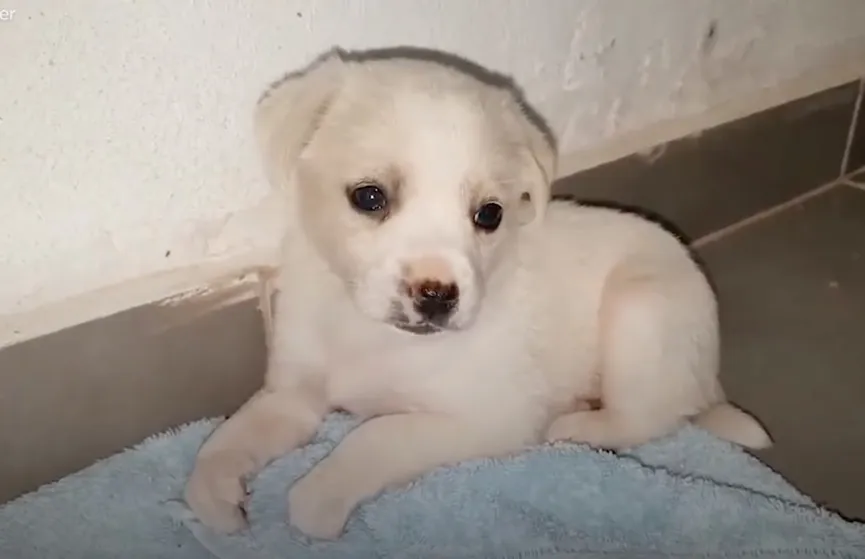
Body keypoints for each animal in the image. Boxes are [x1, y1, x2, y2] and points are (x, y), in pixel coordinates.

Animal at [184, 49, 768, 544]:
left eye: (489, 214)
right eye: (369, 197)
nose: (436, 296)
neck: (368, 333)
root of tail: (709, 376)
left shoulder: (486, 418)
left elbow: (374, 438)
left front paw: (318, 498)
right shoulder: (293, 394)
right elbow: (230, 437)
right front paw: (215, 494)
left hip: (640, 312)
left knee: (648, 418)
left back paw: (577, 425)